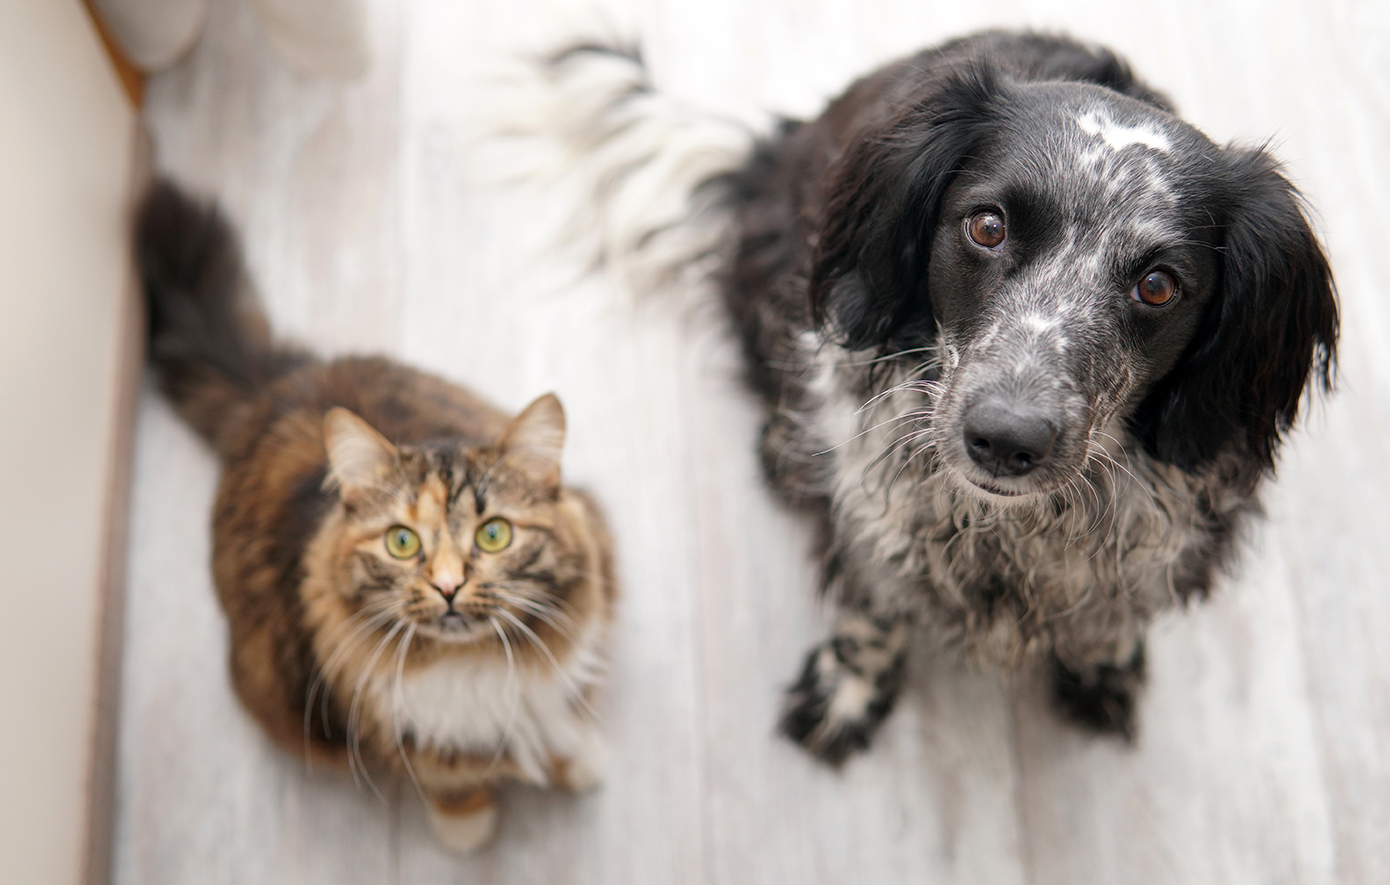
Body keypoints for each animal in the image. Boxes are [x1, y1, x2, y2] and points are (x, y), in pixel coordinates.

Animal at [138, 177, 617, 850]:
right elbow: (449, 773)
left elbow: (556, 714)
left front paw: (579, 759)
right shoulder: (384, 722)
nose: (448, 586)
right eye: (402, 543)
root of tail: (279, 384)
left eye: (494, 534)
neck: (469, 665)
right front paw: (467, 827)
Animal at [528, 27, 1334, 761]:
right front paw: (849, 689)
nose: (1007, 438)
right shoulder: (866, 502)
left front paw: (1103, 661)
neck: (1011, 535)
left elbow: (1116, 607)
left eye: (1159, 285)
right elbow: (871, 605)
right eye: (987, 225)